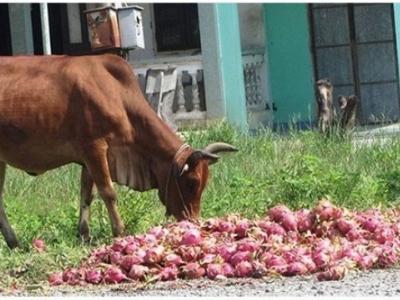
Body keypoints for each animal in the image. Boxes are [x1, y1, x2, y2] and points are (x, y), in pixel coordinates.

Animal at [0, 54, 238, 248]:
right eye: (192, 183)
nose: (193, 221)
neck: (117, 94)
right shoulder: (94, 147)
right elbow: (108, 192)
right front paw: (119, 231)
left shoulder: (89, 159)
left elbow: (87, 194)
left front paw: (84, 235)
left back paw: (14, 243)